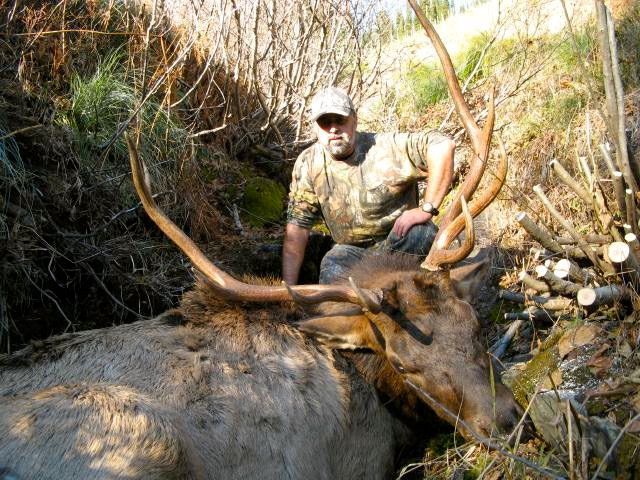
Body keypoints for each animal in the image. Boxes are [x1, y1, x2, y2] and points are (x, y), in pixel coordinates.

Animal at [0, 3, 521, 479]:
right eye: (402, 361)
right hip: (140, 433)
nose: (507, 421)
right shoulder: (361, 459)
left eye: (475, 326)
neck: (366, 380)